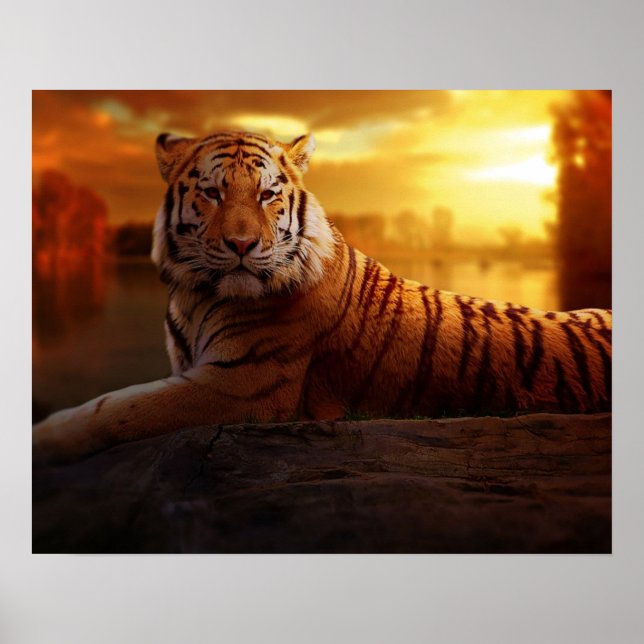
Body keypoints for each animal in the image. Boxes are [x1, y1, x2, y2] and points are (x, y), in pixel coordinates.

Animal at [32, 129, 612, 463]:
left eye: (268, 194)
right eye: (213, 192)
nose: (242, 244)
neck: (194, 296)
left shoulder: (241, 386)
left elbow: (119, 406)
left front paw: (46, 437)